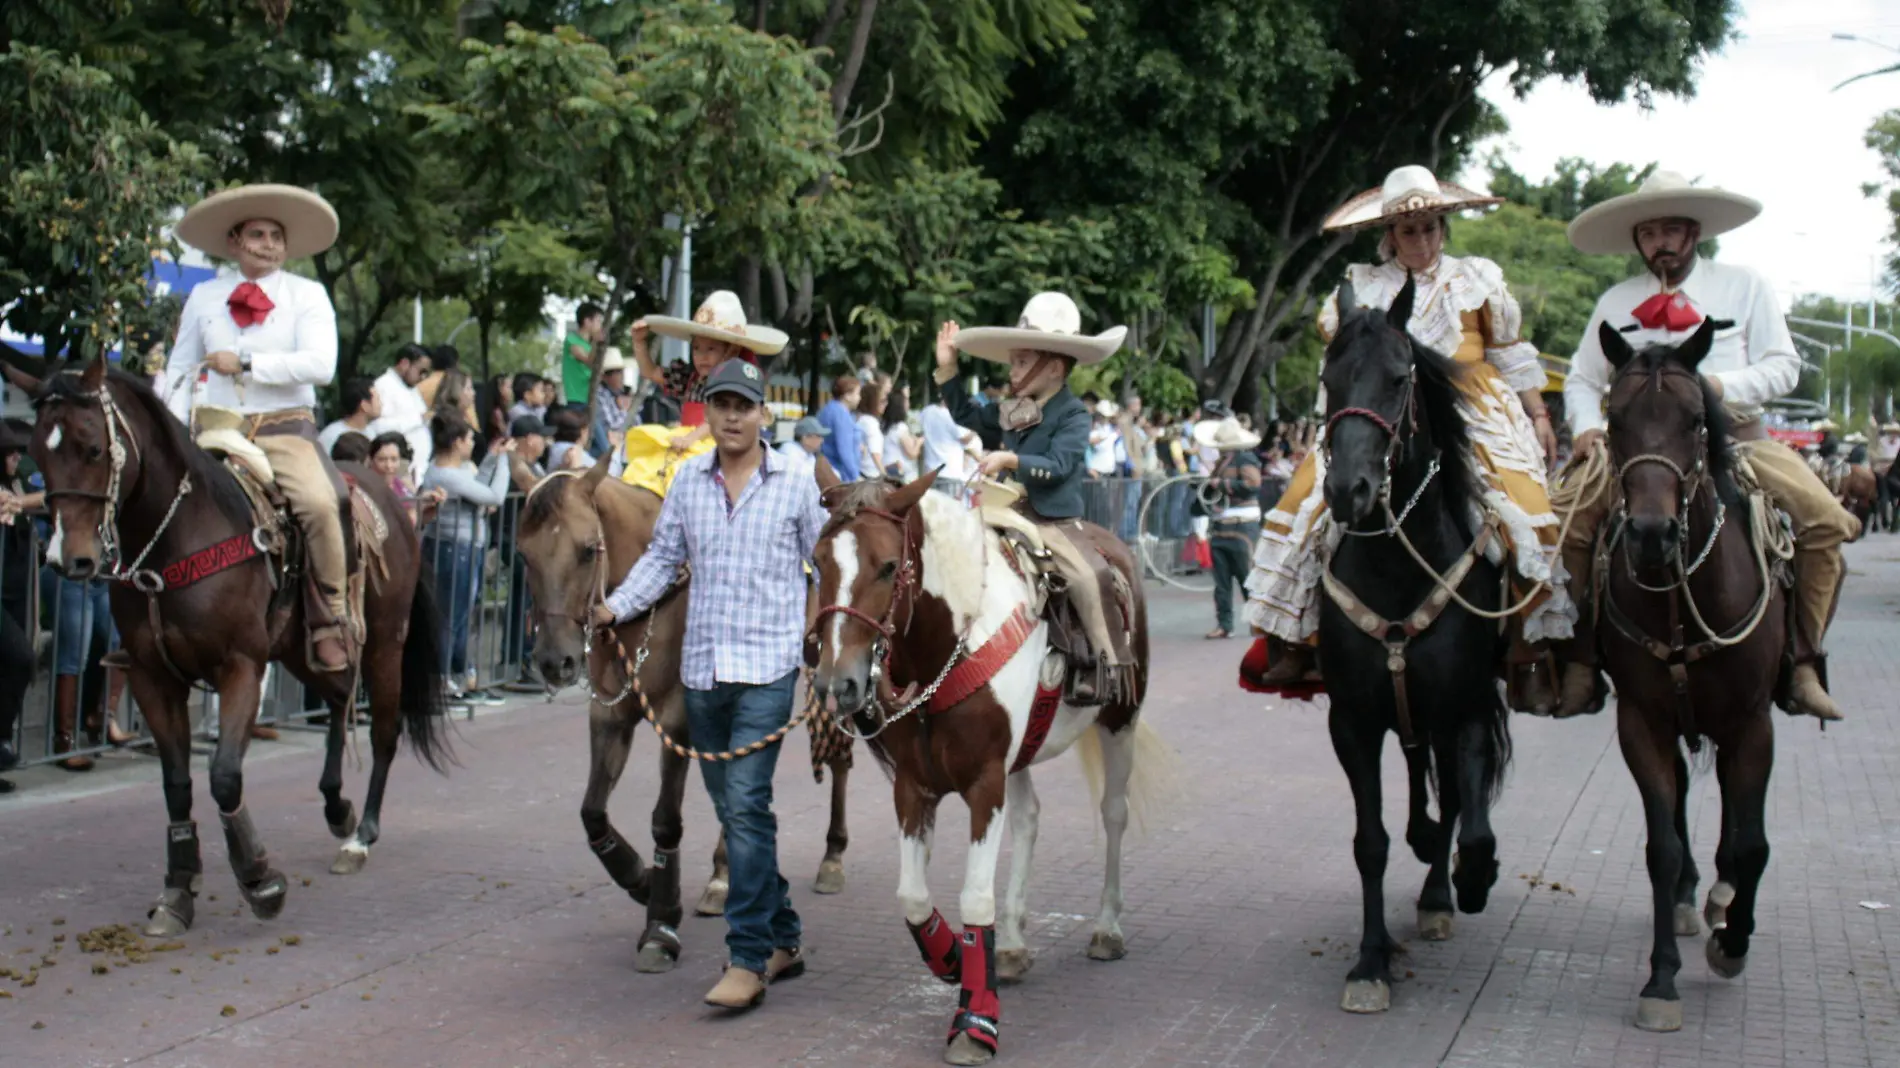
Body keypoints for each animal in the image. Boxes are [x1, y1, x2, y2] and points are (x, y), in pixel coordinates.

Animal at [14, 357, 450, 931]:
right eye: (38, 451)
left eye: (91, 448)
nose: (69, 559)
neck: (175, 539)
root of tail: (396, 501)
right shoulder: (153, 676)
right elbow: (177, 784)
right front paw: (178, 890)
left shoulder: (240, 667)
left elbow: (223, 776)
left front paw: (259, 879)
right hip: (302, 650)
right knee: (337, 699)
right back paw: (337, 807)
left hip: (384, 643)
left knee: (383, 729)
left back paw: (360, 837)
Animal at [513, 452, 855, 969]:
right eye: (525, 555)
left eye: (588, 549)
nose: (556, 660)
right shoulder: (611, 714)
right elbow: (592, 811)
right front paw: (638, 878)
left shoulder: (677, 715)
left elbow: (665, 819)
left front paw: (660, 921)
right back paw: (723, 876)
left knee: (838, 762)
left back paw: (832, 857)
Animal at [805, 473, 1162, 1064]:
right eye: (816, 562)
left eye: (887, 566)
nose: (838, 683)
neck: (953, 644)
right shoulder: (914, 787)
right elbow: (913, 897)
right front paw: (951, 959)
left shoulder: (983, 783)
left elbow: (975, 897)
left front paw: (976, 1020)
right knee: (1029, 818)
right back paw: (1013, 946)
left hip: (1120, 722)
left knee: (1114, 813)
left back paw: (1107, 928)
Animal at [1322, 279, 1512, 1010]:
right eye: (1329, 380)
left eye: (1400, 379)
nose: (1347, 491)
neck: (1400, 567)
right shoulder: (1352, 720)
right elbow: (1370, 842)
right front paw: (1370, 962)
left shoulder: (1466, 709)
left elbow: (1475, 823)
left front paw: (1471, 880)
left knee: (1456, 798)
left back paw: (1441, 891)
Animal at [1596, 317, 1786, 1033]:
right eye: (1615, 419)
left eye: (1695, 421)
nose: (1651, 534)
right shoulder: (1641, 721)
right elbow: (1663, 845)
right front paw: (1661, 980)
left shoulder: (1753, 723)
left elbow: (1753, 843)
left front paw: (1732, 943)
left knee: (1736, 814)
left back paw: (1725, 902)